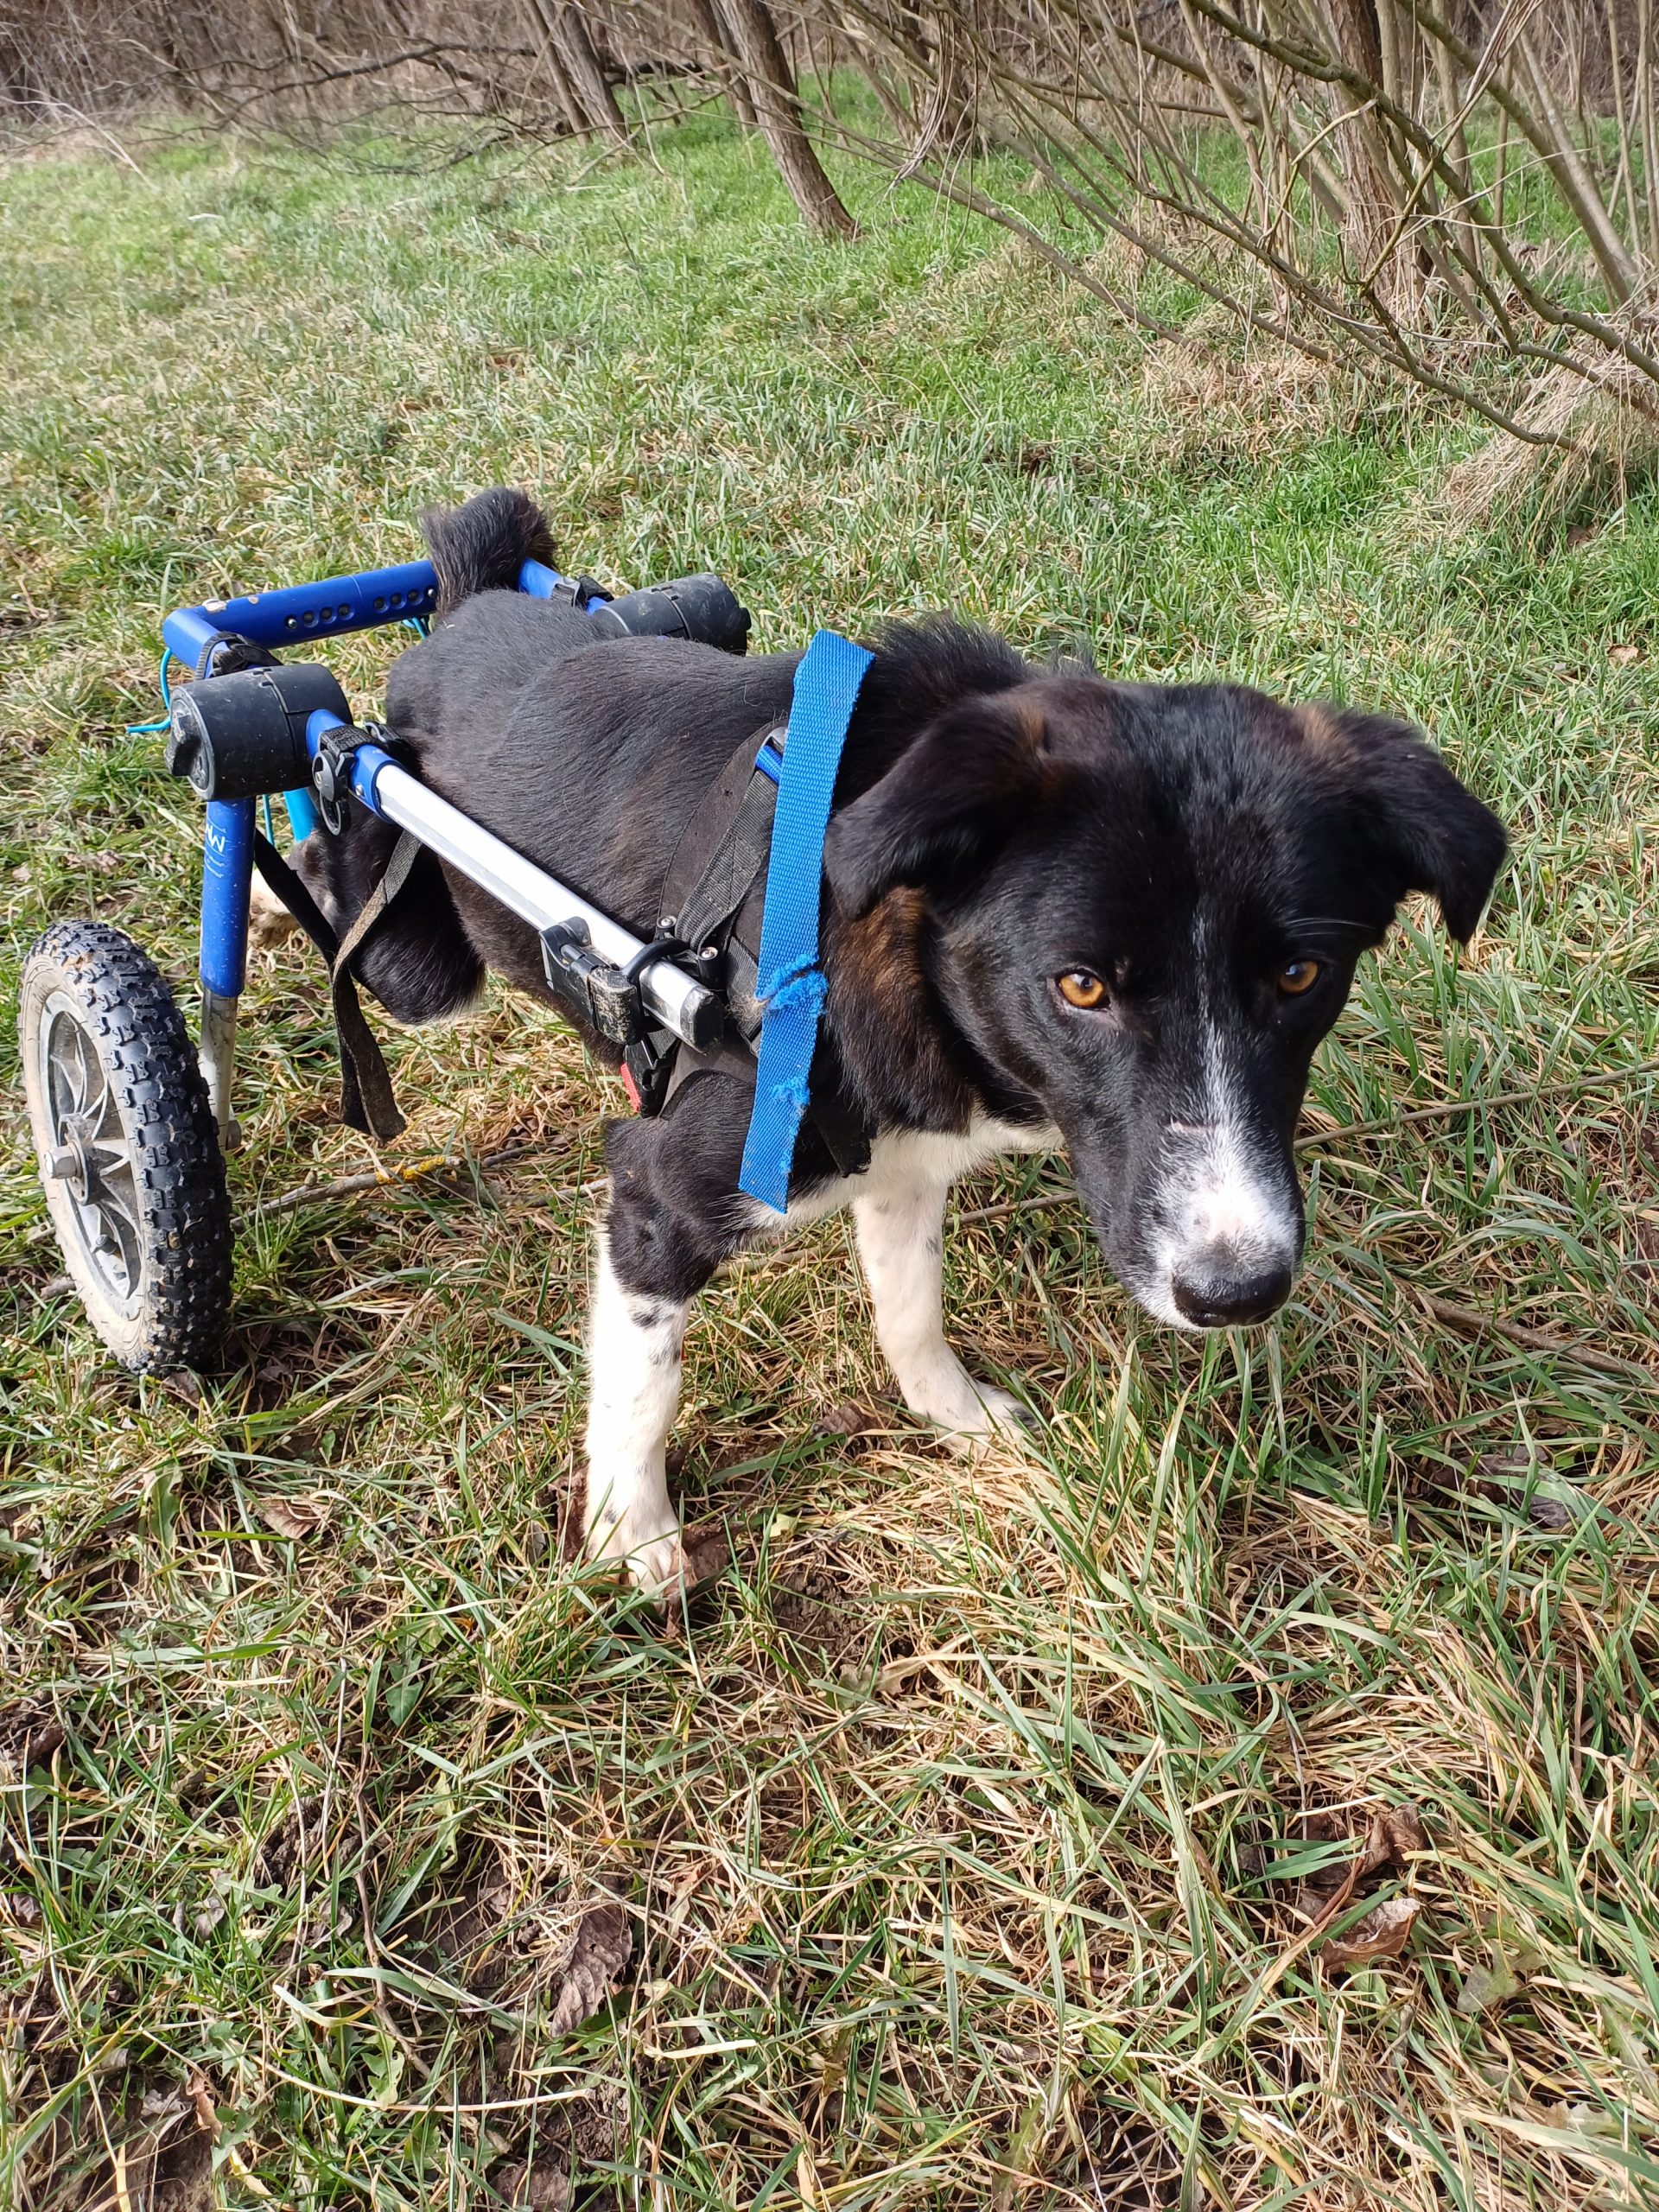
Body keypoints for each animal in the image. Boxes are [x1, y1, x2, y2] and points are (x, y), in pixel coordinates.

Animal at [290, 488, 1506, 1592]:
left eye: (1301, 975)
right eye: (1080, 986)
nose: (1239, 1291)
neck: (866, 941)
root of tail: (463, 606)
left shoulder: (903, 1164)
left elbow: (911, 1309)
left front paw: (956, 1417)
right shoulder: (654, 1193)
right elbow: (645, 1390)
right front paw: (632, 1538)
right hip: (417, 964)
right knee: (316, 851)